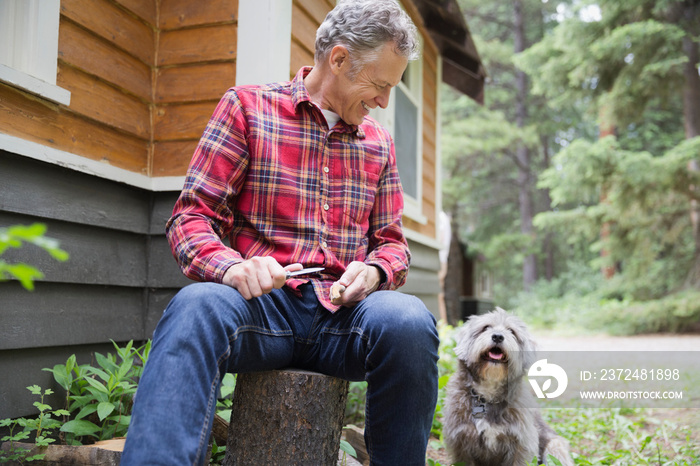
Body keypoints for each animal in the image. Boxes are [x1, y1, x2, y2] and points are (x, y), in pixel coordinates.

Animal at [442, 310, 576, 466]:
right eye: (486, 327)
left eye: (511, 331)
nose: (498, 336)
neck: (488, 394)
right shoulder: (461, 444)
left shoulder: (521, 443)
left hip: (554, 447)